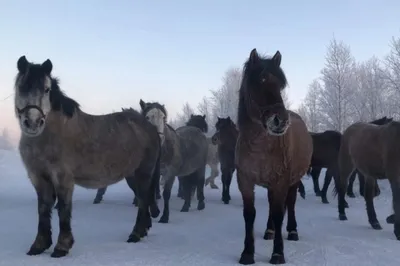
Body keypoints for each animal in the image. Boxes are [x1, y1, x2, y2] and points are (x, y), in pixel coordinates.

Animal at [14, 56, 161, 258]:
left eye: (46, 89)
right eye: (22, 87)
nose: (33, 122)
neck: (49, 135)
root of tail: (149, 127)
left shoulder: (63, 179)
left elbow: (64, 210)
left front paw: (62, 247)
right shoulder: (38, 178)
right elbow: (43, 210)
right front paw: (39, 246)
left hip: (144, 173)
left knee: (144, 200)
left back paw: (135, 234)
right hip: (132, 175)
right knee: (142, 200)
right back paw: (143, 230)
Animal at [234, 49, 312, 264]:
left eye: (281, 84)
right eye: (261, 79)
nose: (281, 121)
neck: (259, 148)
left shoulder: (281, 181)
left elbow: (279, 213)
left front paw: (278, 253)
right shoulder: (245, 181)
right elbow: (249, 214)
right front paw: (247, 253)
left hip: (293, 181)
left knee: (290, 205)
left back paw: (292, 231)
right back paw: (269, 231)